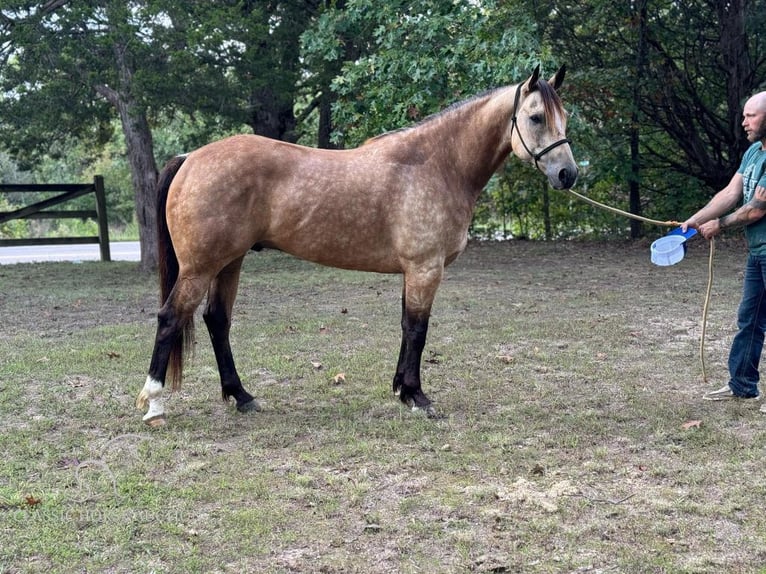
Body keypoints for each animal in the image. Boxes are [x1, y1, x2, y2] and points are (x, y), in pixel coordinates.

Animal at [138, 66, 580, 428]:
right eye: (536, 117)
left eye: (565, 118)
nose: (567, 174)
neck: (437, 165)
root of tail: (190, 157)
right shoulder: (425, 268)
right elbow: (418, 329)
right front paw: (418, 397)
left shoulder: (413, 272)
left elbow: (405, 326)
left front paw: (401, 389)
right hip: (200, 267)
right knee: (170, 318)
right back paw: (155, 404)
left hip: (229, 262)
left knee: (217, 321)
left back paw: (242, 396)